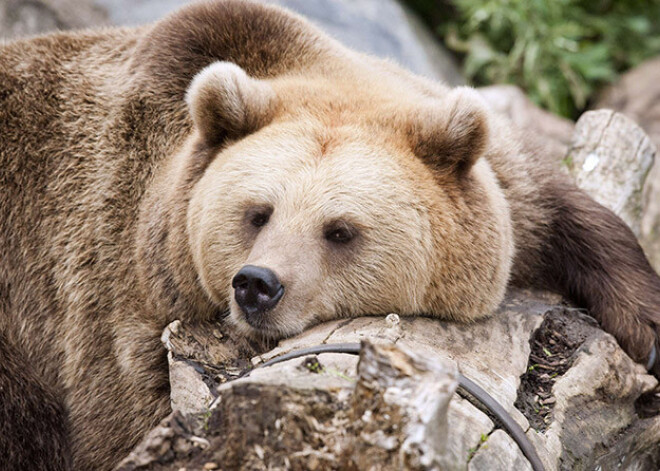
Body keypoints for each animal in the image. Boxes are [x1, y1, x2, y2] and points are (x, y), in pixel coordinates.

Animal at [0, 1, 656, 470]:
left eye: (339, 230)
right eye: (258, 212)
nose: (256, 285)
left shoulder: (503, 188)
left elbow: (570, 214)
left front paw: (647, 335)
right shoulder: (114, 296)